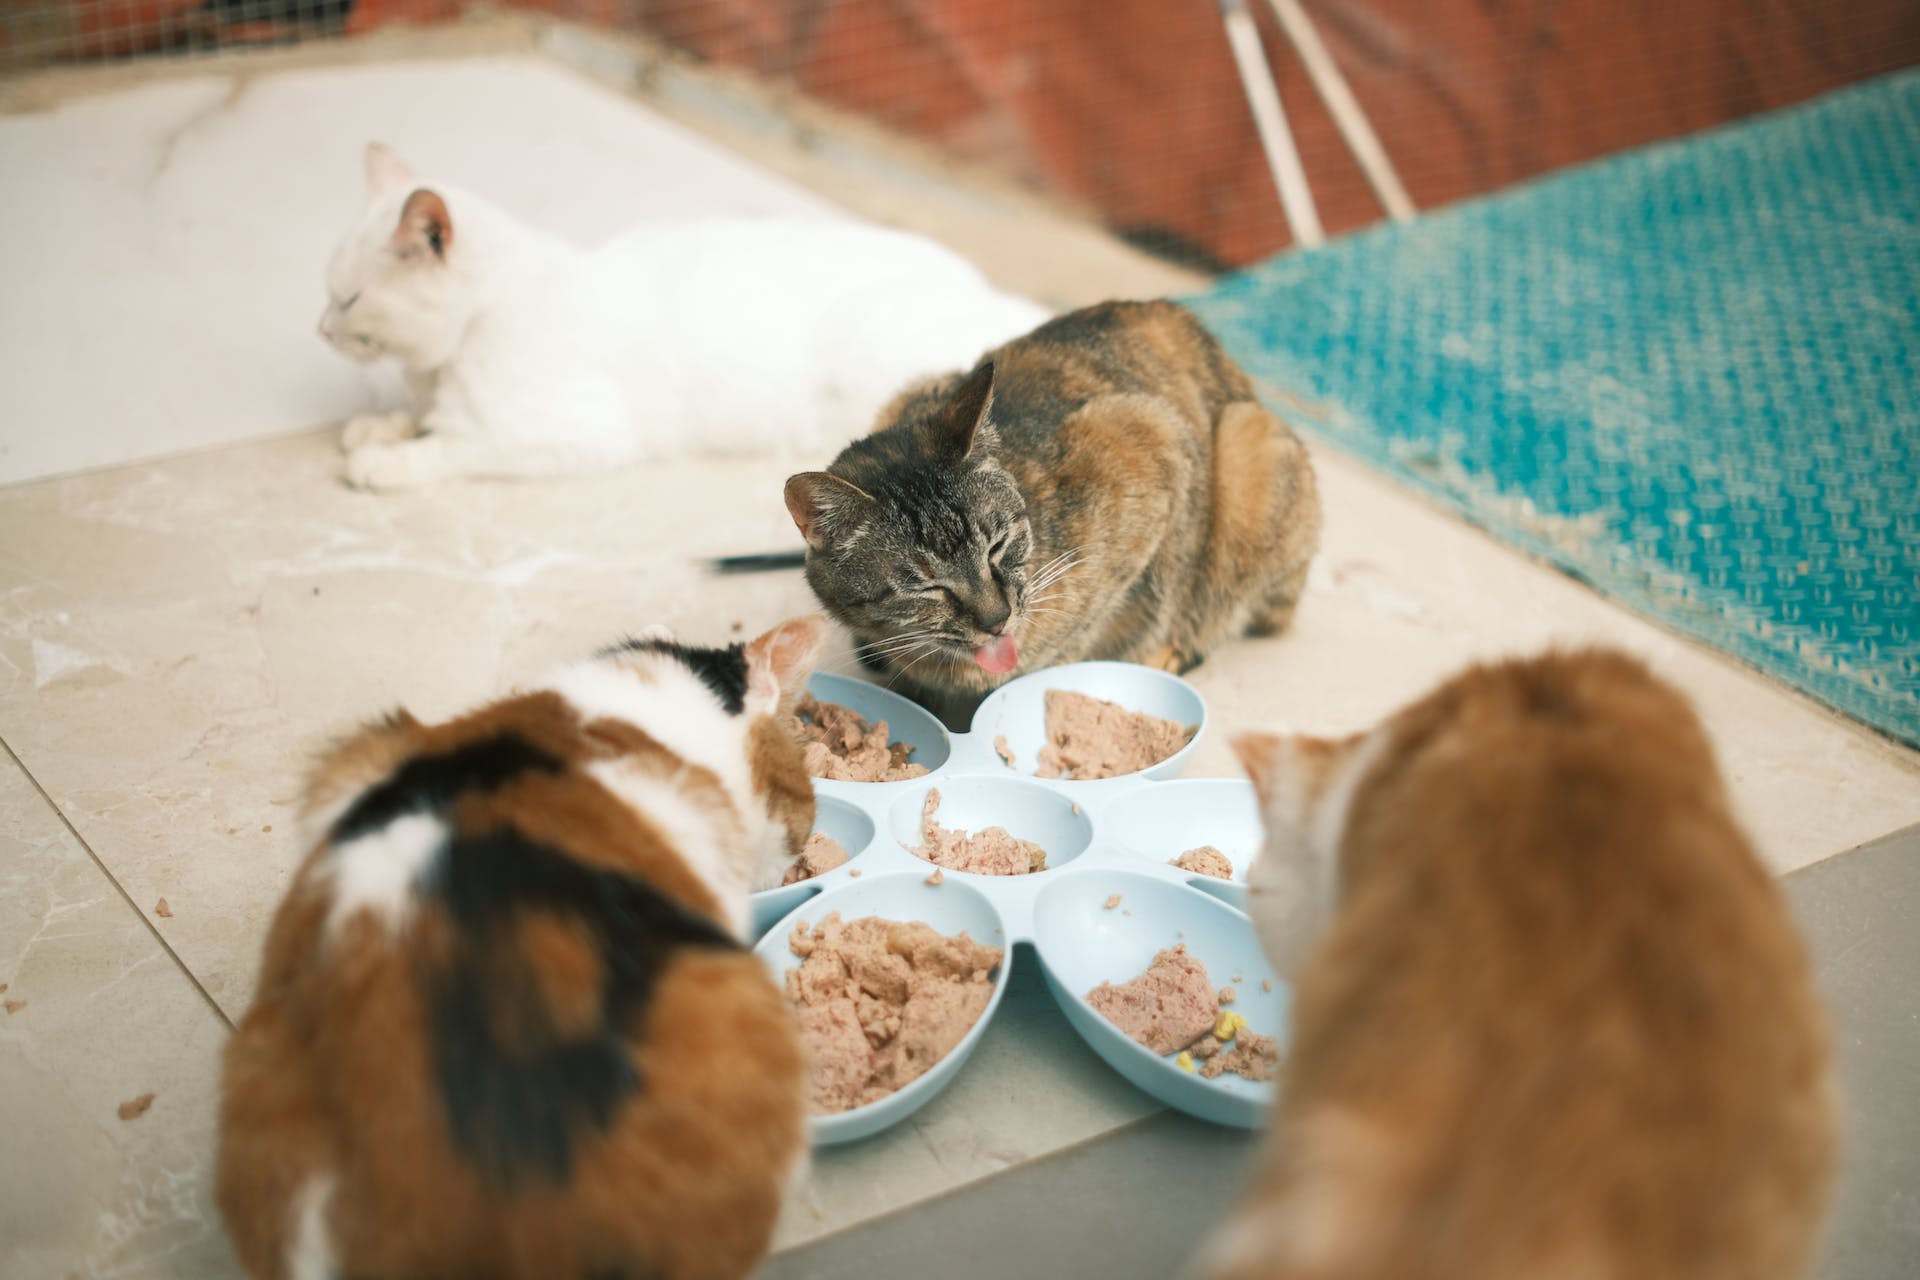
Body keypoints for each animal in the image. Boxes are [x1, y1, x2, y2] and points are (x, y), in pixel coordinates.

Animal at [328, 143, 1052, 491]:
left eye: (349, 299)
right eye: (327, 287)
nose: (322, 328)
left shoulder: (581, 431)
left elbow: (456, 445)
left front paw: (388, 462)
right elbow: (420, 417)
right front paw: (380, 427)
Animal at [779, 305, 1320, 717]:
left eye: (997, 546)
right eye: (925, 586)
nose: (997, 620)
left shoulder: (1153, 437)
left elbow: (1092, 628)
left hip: (1251, 452)